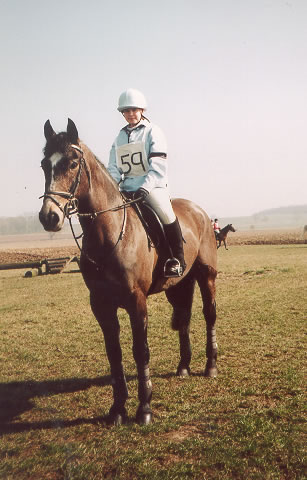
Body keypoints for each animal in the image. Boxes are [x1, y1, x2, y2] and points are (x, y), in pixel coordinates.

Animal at [39, 118, 219, 426]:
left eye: (72, 163)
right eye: (43, 164)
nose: (49, 217)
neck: (108, 234)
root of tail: (198, 211)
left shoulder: (137, 301)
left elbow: (140, 350)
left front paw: (144, 408)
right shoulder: (100, 304)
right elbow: (114, 353)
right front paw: (117, 409)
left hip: (206, 276)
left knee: (209, 314)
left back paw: (210, 366)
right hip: (178, 285)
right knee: (184, 317)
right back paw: (184, 366)